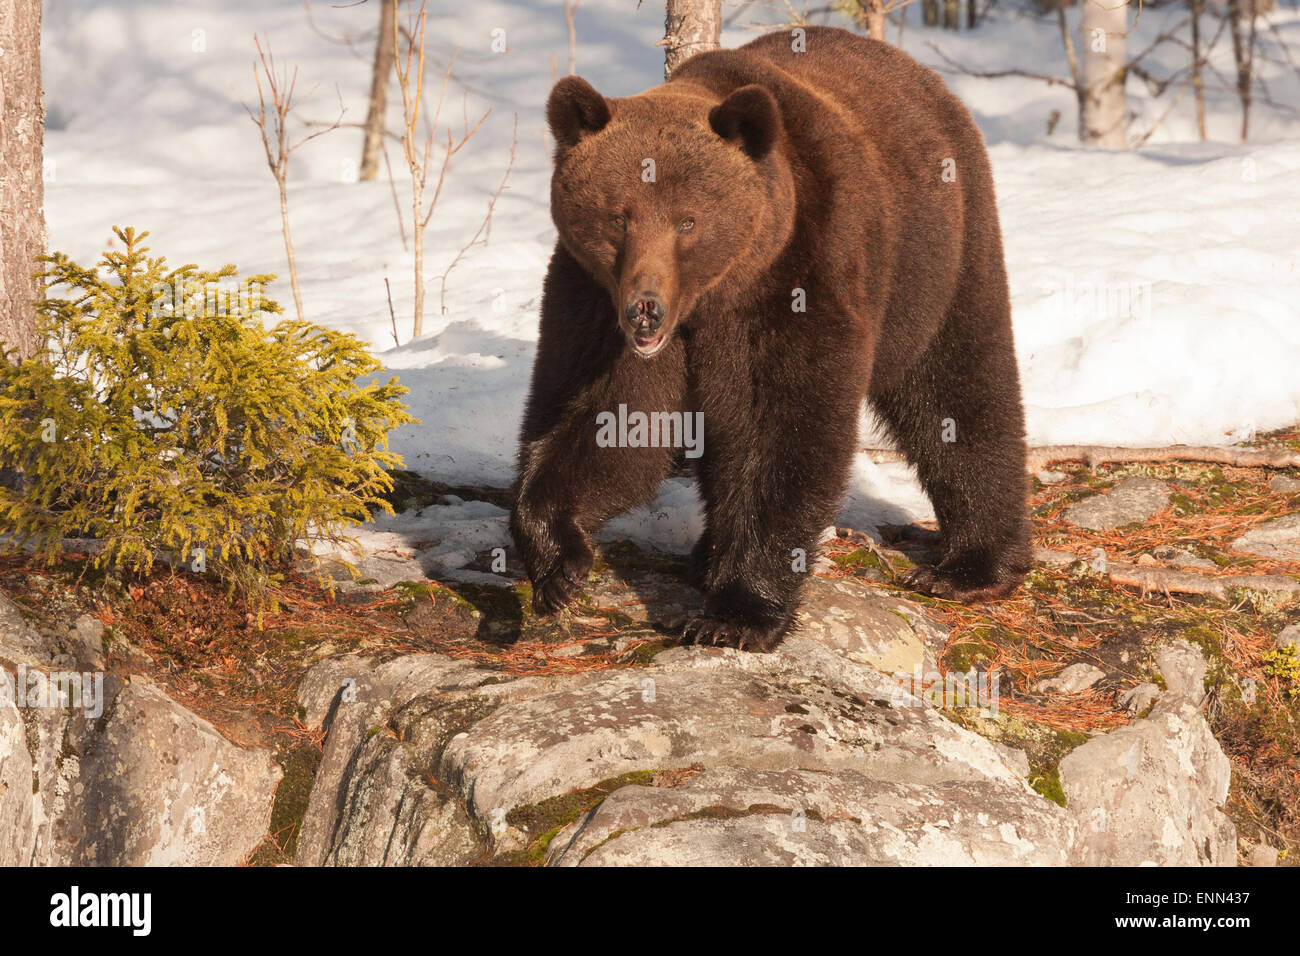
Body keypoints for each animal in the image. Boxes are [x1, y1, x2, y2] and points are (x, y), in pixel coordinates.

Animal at [512, 27, 1029, 650]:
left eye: (688, 220)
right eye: (618, 216)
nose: (644, 311)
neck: (712, 300)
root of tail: (918, 72)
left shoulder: (798, 277)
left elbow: (779, 432)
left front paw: (736, 614)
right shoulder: (591, 299)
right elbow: (604, 416)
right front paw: (557, 564)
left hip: (938, 257)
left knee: (959, 386)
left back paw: (970, 566)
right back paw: (705, 554)